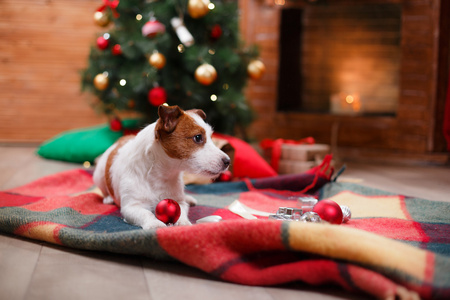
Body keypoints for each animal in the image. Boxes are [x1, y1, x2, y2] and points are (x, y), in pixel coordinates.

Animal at [92, 104, 230, 229]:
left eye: (211, 137)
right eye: (198, 137)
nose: (228, 161)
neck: (162, 174)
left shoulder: (179, 201)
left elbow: (181, 210)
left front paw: (183, 222)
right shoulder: (131, 207)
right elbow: (146, 213)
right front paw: (155, 224)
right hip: (99, 175)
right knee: (104, 189)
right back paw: (108, 198)